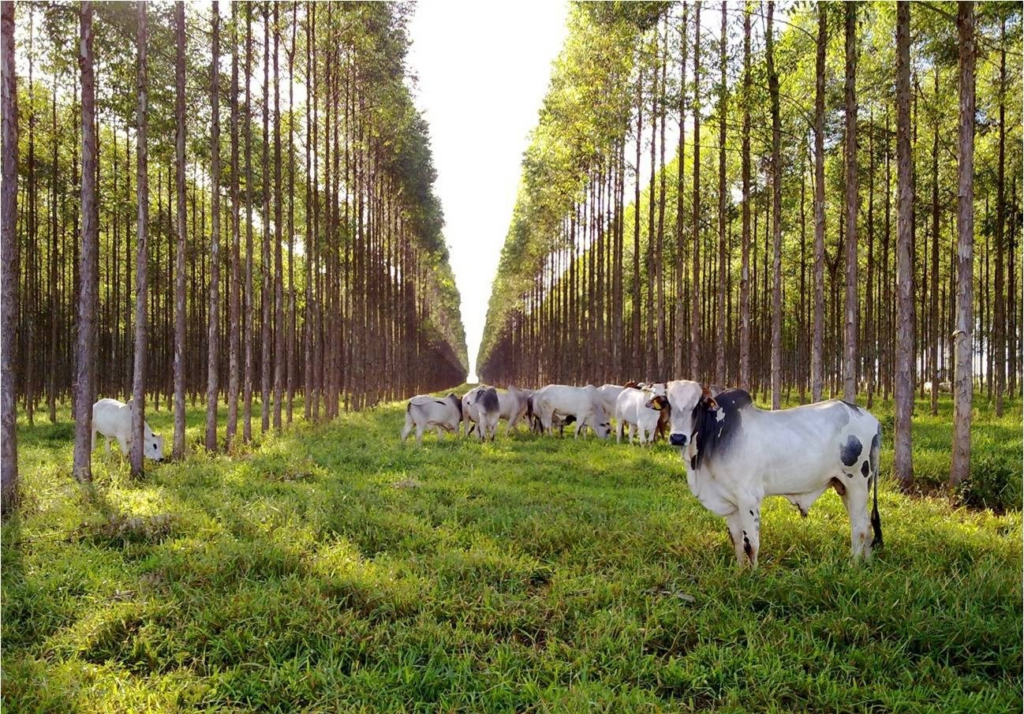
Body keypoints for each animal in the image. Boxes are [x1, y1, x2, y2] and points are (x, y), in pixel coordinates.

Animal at [667, 381, 884, 565]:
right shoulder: (730, 500)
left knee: (860, 528)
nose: (678, 437)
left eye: (696, 405)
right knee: (867, 525)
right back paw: (867, 565)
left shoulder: (749, 498)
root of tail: (872, 420)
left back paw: (853, 566)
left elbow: (750, 545)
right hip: (845, 487)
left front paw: (752, 576)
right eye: (668, 404)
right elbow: (736, 541)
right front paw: (738, 571)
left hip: (856, 482)